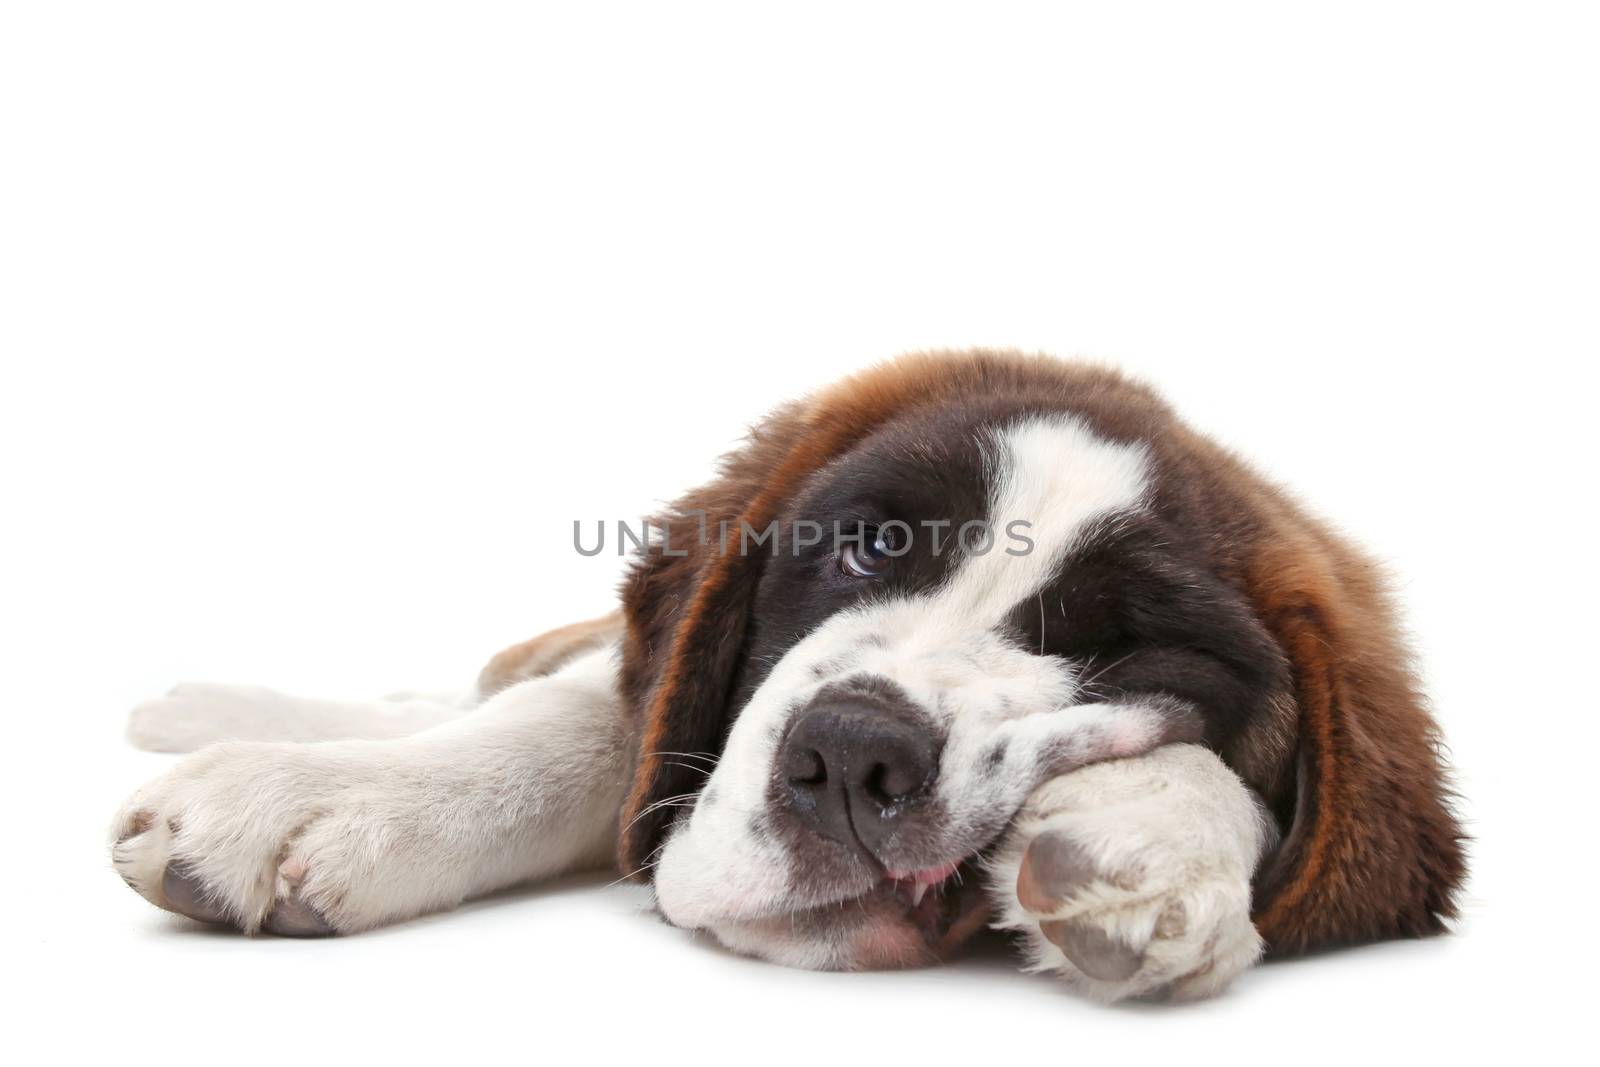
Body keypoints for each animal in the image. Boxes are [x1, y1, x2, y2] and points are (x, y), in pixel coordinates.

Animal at [109, 355, 1465, 1004]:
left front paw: (1151, 824)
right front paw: (319, 792)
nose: (857, 756)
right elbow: (581, 722)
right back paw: (200, 711)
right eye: (865, 546)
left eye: (1120, 644)